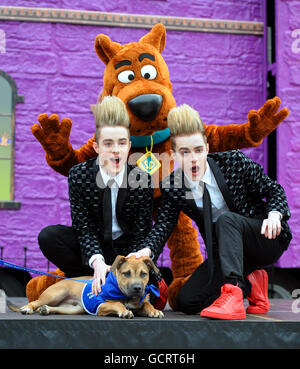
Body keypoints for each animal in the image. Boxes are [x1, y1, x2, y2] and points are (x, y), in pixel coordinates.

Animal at [8, 254, 164, 318]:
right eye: (126, 273)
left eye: (143, 274)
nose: (137, 288)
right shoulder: (100, 305)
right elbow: (117, 303)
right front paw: (124, 311)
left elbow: (146, 304)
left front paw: (154, 310)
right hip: (55, 294)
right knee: (35, 301)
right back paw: (28, 308)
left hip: (73, 309)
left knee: (56, 309)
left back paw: (47, 310)